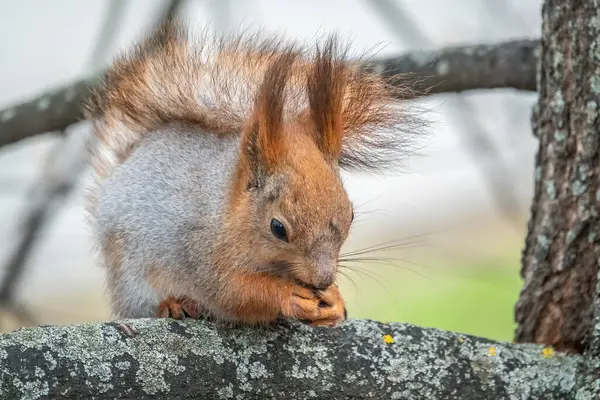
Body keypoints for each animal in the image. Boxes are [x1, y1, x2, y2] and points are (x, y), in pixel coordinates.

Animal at [83, 21, 422, 326]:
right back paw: (173, 305)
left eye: (351, 215)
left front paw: (335, 301)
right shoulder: (200, 250)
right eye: (278, 228)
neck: (229, 211)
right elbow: (234, 292)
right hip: (131, 279)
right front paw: (289, 296)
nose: (324, 279)